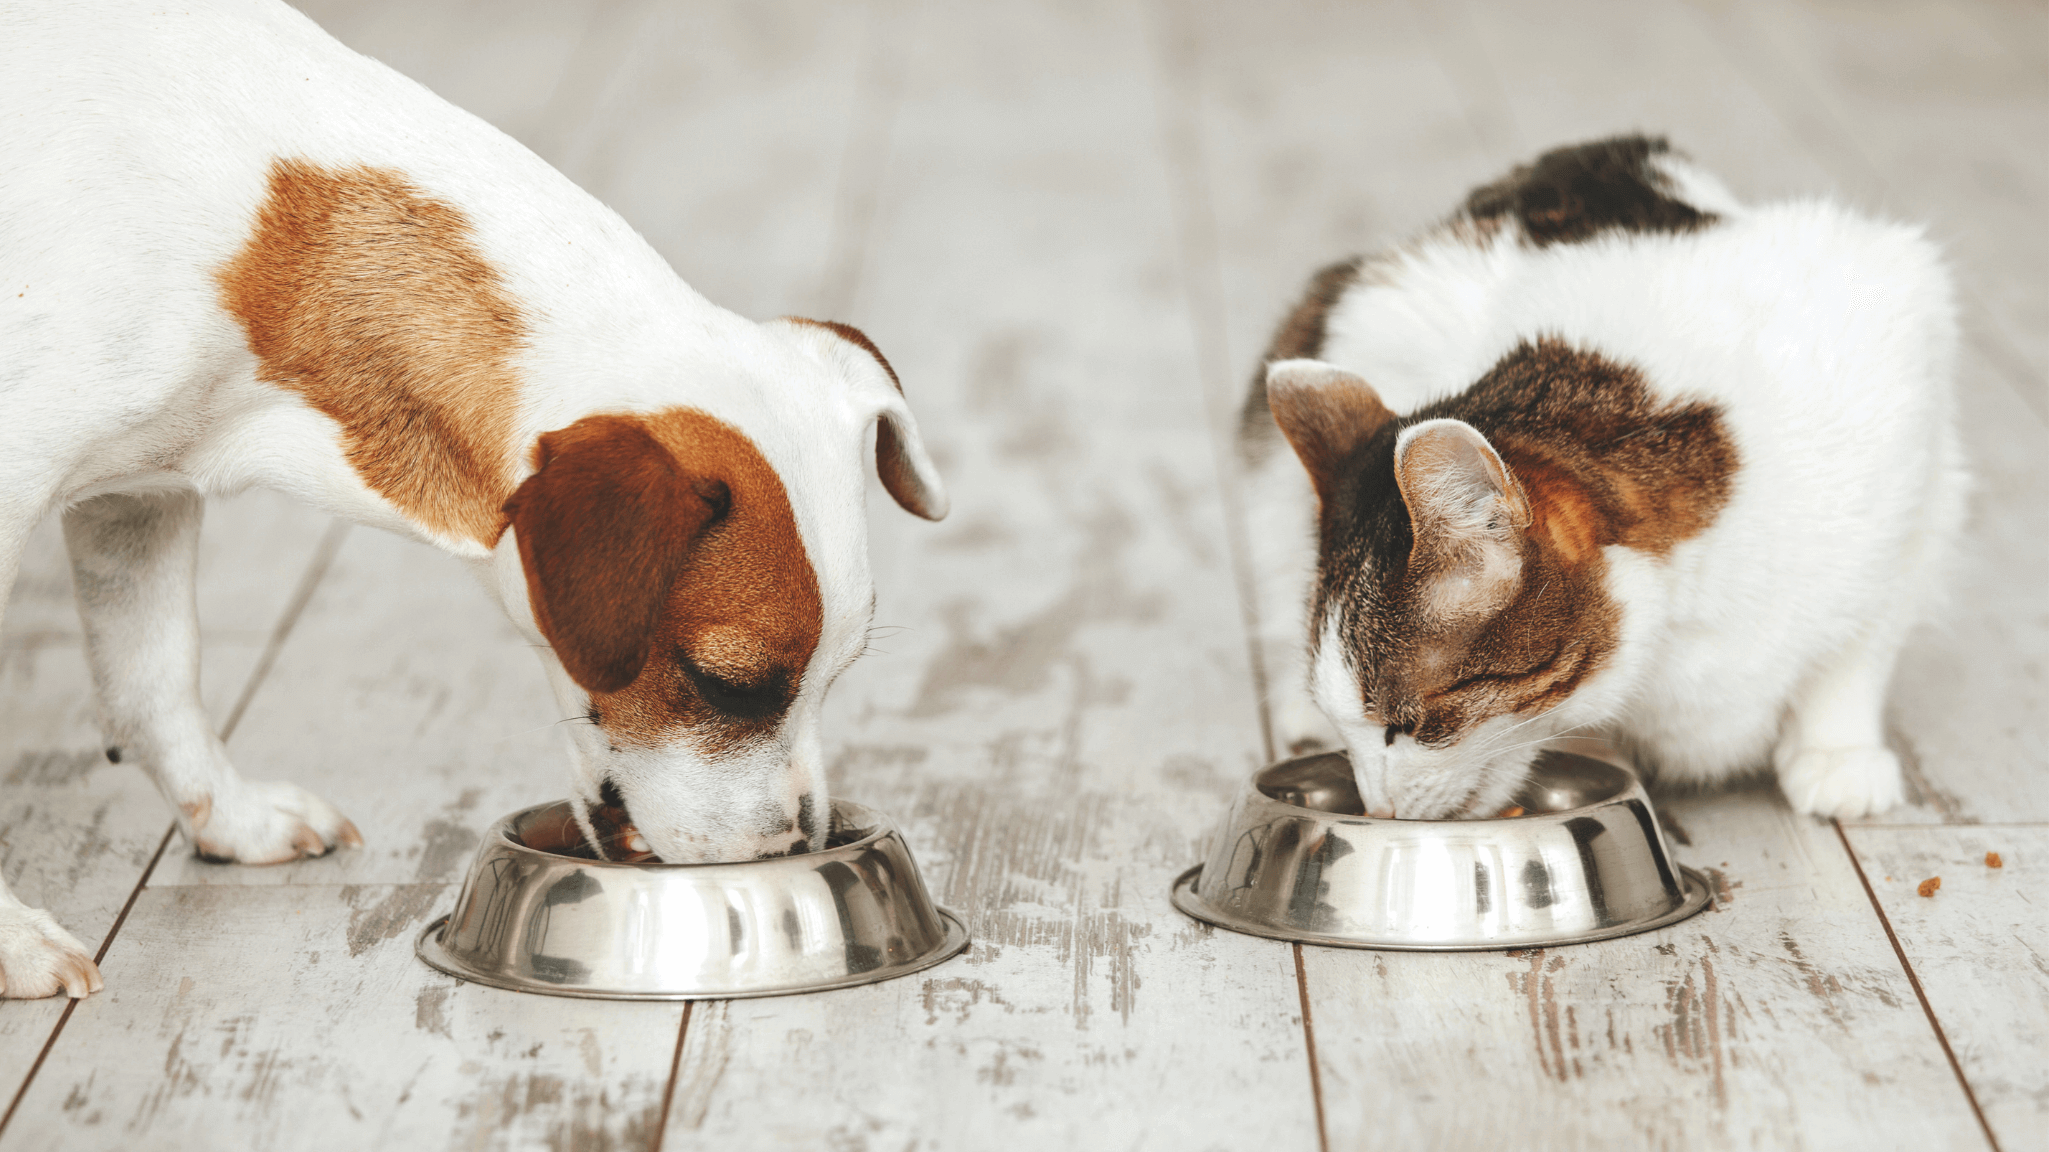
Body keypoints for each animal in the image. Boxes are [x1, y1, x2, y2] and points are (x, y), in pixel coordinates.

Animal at [0, 0, 942, 996]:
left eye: (839, 674)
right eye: (726, 684)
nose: (790, 851)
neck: (265, 239)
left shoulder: (140, 495)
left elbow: (157, 678)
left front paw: (230, 816)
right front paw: (14, 942)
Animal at [1237, 134, 1958, 815]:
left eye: (1404, 725)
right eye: (1354, 726)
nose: (1377, 808)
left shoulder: (1912, 445)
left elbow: (1861, 643)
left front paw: (1838, 750)